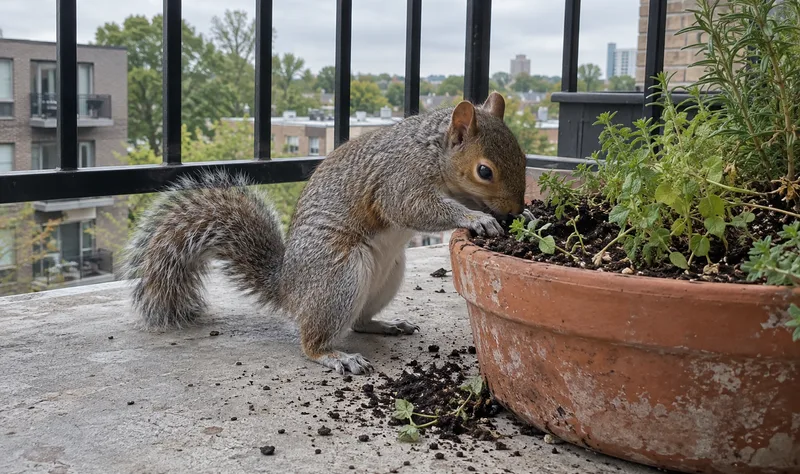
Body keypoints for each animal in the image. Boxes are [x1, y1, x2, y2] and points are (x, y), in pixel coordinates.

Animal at [120, 91, 528, 375]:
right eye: (484, 171)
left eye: (524, 157)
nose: (514, 210)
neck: (433, 151)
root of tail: (288, 288)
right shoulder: (399, 179)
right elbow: (412, 208)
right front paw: (475, 218)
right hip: (339, 276)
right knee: (313, 340)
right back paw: (334, 356)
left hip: (387, 275)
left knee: (359, 321)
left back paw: (385, 324)